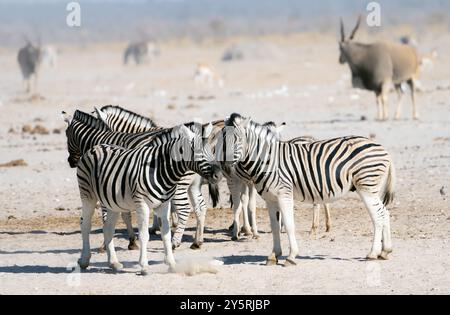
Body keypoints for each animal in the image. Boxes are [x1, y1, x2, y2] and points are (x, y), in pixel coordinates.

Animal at [74, 124, 221, 274]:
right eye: (199, 153)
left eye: (211, 151)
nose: (219, 175)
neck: (161, 170)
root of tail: (96, 147)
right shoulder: (142, 205)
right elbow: (144, 235)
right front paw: (144, 265)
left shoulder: (164, 205)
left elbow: (166, 233)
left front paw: (171, 263)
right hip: (88, 195)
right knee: (85, 225)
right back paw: (84, 260)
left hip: (112, 203)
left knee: (108, 228)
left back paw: (113, 263)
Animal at [216, 113, 396, 266]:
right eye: (221, 140)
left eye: (238, 139)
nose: (226, 166)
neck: (267, 161)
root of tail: (383, 149)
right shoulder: (270, 199)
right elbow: (274, 227)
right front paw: (274, 255)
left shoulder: (284, 194)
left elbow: (289, 225)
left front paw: (291, 256)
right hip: (371, 188)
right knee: (384, 212)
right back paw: (385, 251)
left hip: (366, 186)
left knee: (378, 216)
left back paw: (373, 253)